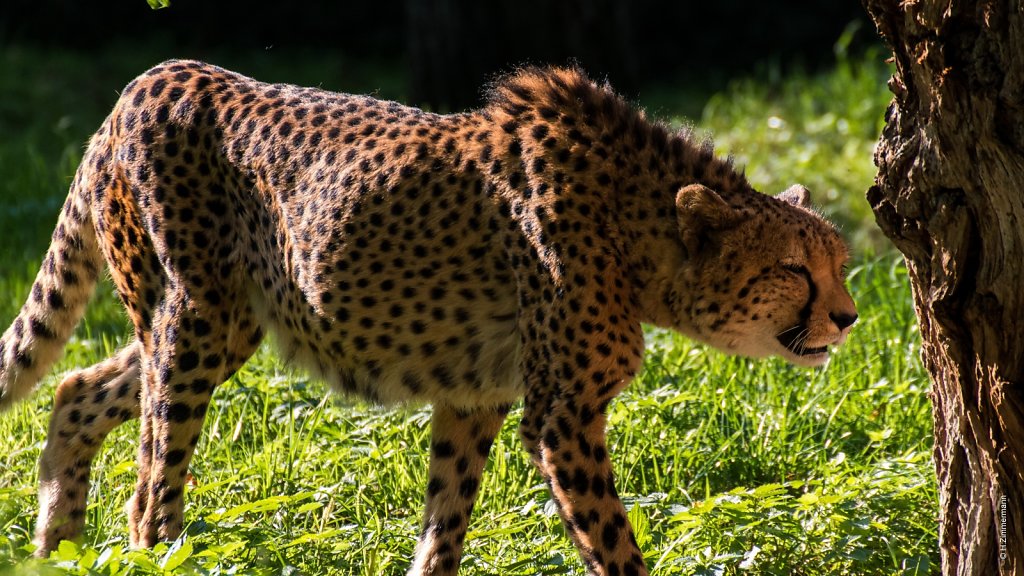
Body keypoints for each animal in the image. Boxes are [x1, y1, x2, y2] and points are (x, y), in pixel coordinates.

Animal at [0, 60, 856, 569]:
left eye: (842, 264)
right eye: (792, 269)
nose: (848, 318)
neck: (639, 228)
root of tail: (155, 75)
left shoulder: (476, 395)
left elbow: (445, 523)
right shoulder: (564, 414)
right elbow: (613, 543)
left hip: (218, 320)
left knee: (78, 389)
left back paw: (54, 544)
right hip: (197, 317)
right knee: (150, 490)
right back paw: (148, 545)